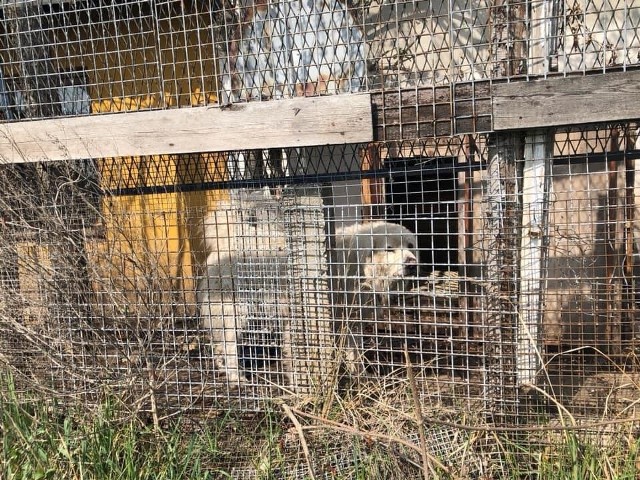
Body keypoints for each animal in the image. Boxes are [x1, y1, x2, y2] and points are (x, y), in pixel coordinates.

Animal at [200, 205, 420, 382]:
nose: (412, 264)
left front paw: (360, 376)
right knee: (228, 345)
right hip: (236, 312)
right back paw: (236, 377)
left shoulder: (350, 319)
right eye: (389, 249)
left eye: (410, 246)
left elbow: (354, 352)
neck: (358, 263)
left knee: (219, 344)